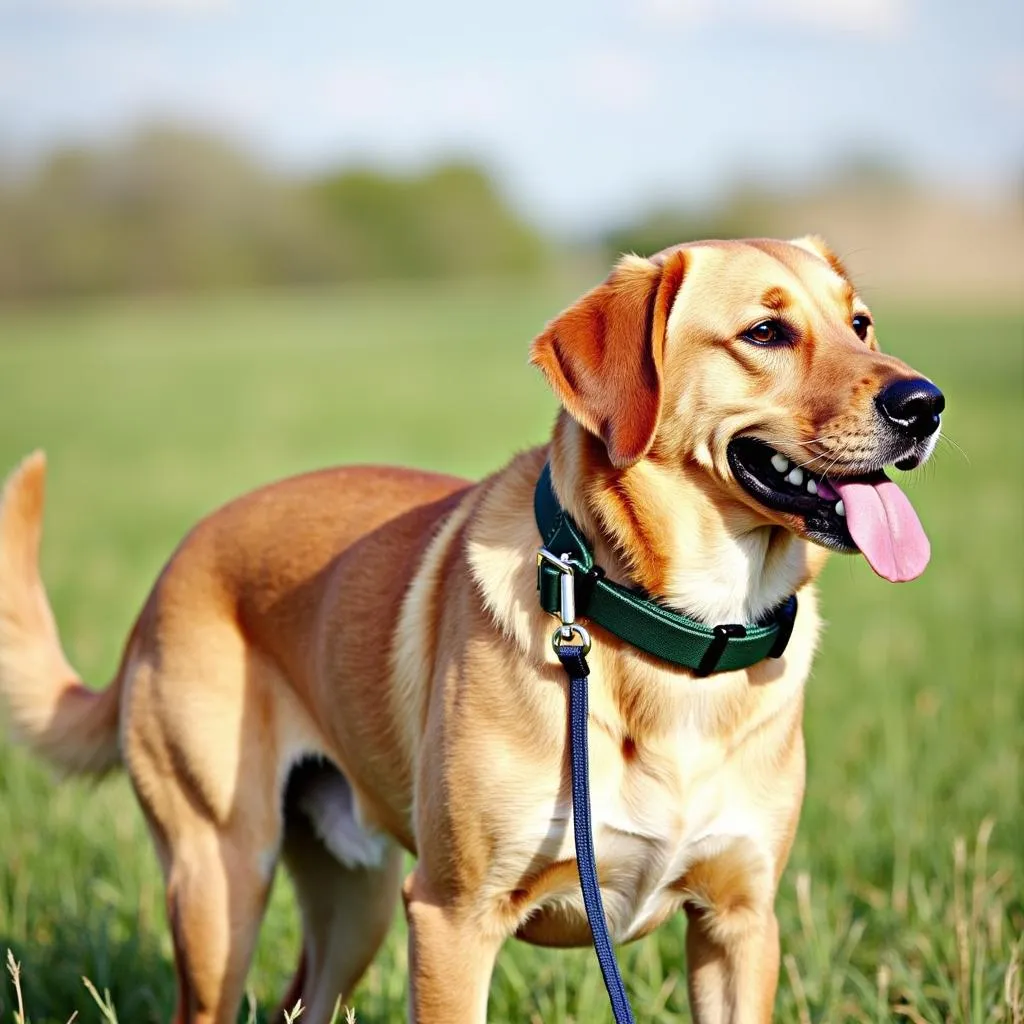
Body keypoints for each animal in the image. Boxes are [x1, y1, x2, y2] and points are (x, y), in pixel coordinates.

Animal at [0, 234, 942, 1024]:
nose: (925, 403)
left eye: (860, 322)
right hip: (220, 880)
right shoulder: (453, 918)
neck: (679, 637)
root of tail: (173, 563)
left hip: (354, 898)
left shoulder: (738, 923)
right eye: (765, 332)